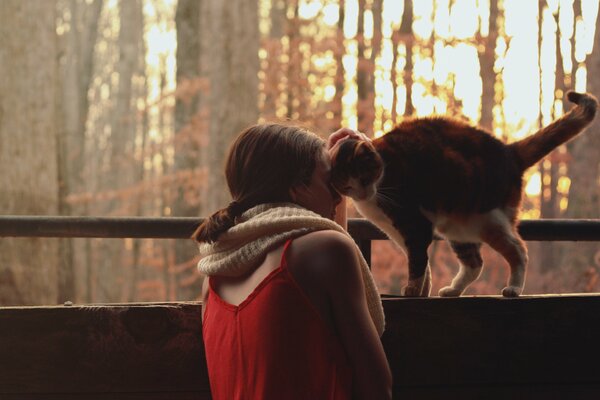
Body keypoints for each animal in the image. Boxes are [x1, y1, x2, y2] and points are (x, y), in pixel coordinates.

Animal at [330, 90, 596, 296]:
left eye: (364, 177)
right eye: (348, 187)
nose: (363, 194)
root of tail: (509, 152)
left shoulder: (414, 223)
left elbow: (417, 261)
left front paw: (413, 290)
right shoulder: (398, 230)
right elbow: (421, 262)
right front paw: (423, 290)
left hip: (486, 218)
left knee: (519, 250)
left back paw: (513, 288)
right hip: (456, 225)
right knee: (475, 263)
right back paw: (453, 290)